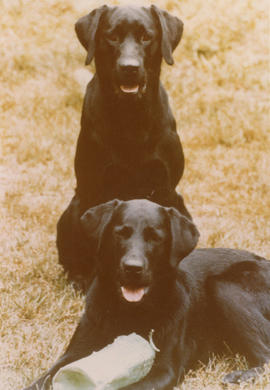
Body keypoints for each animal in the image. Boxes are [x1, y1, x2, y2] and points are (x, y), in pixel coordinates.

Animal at [23, 200, 270, 388]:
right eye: (121, 233)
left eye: (155, 237)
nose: (133, 268)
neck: (128, 311)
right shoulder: (75, 351)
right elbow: (44, 377)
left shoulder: (165, 369)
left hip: (224, 287)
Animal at [57, 3, 192, 290]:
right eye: (112, 36)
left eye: (146, 37)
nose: (129, 67)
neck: (131, 117)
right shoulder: (93, 189)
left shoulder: (165, 189)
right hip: (72, 210)